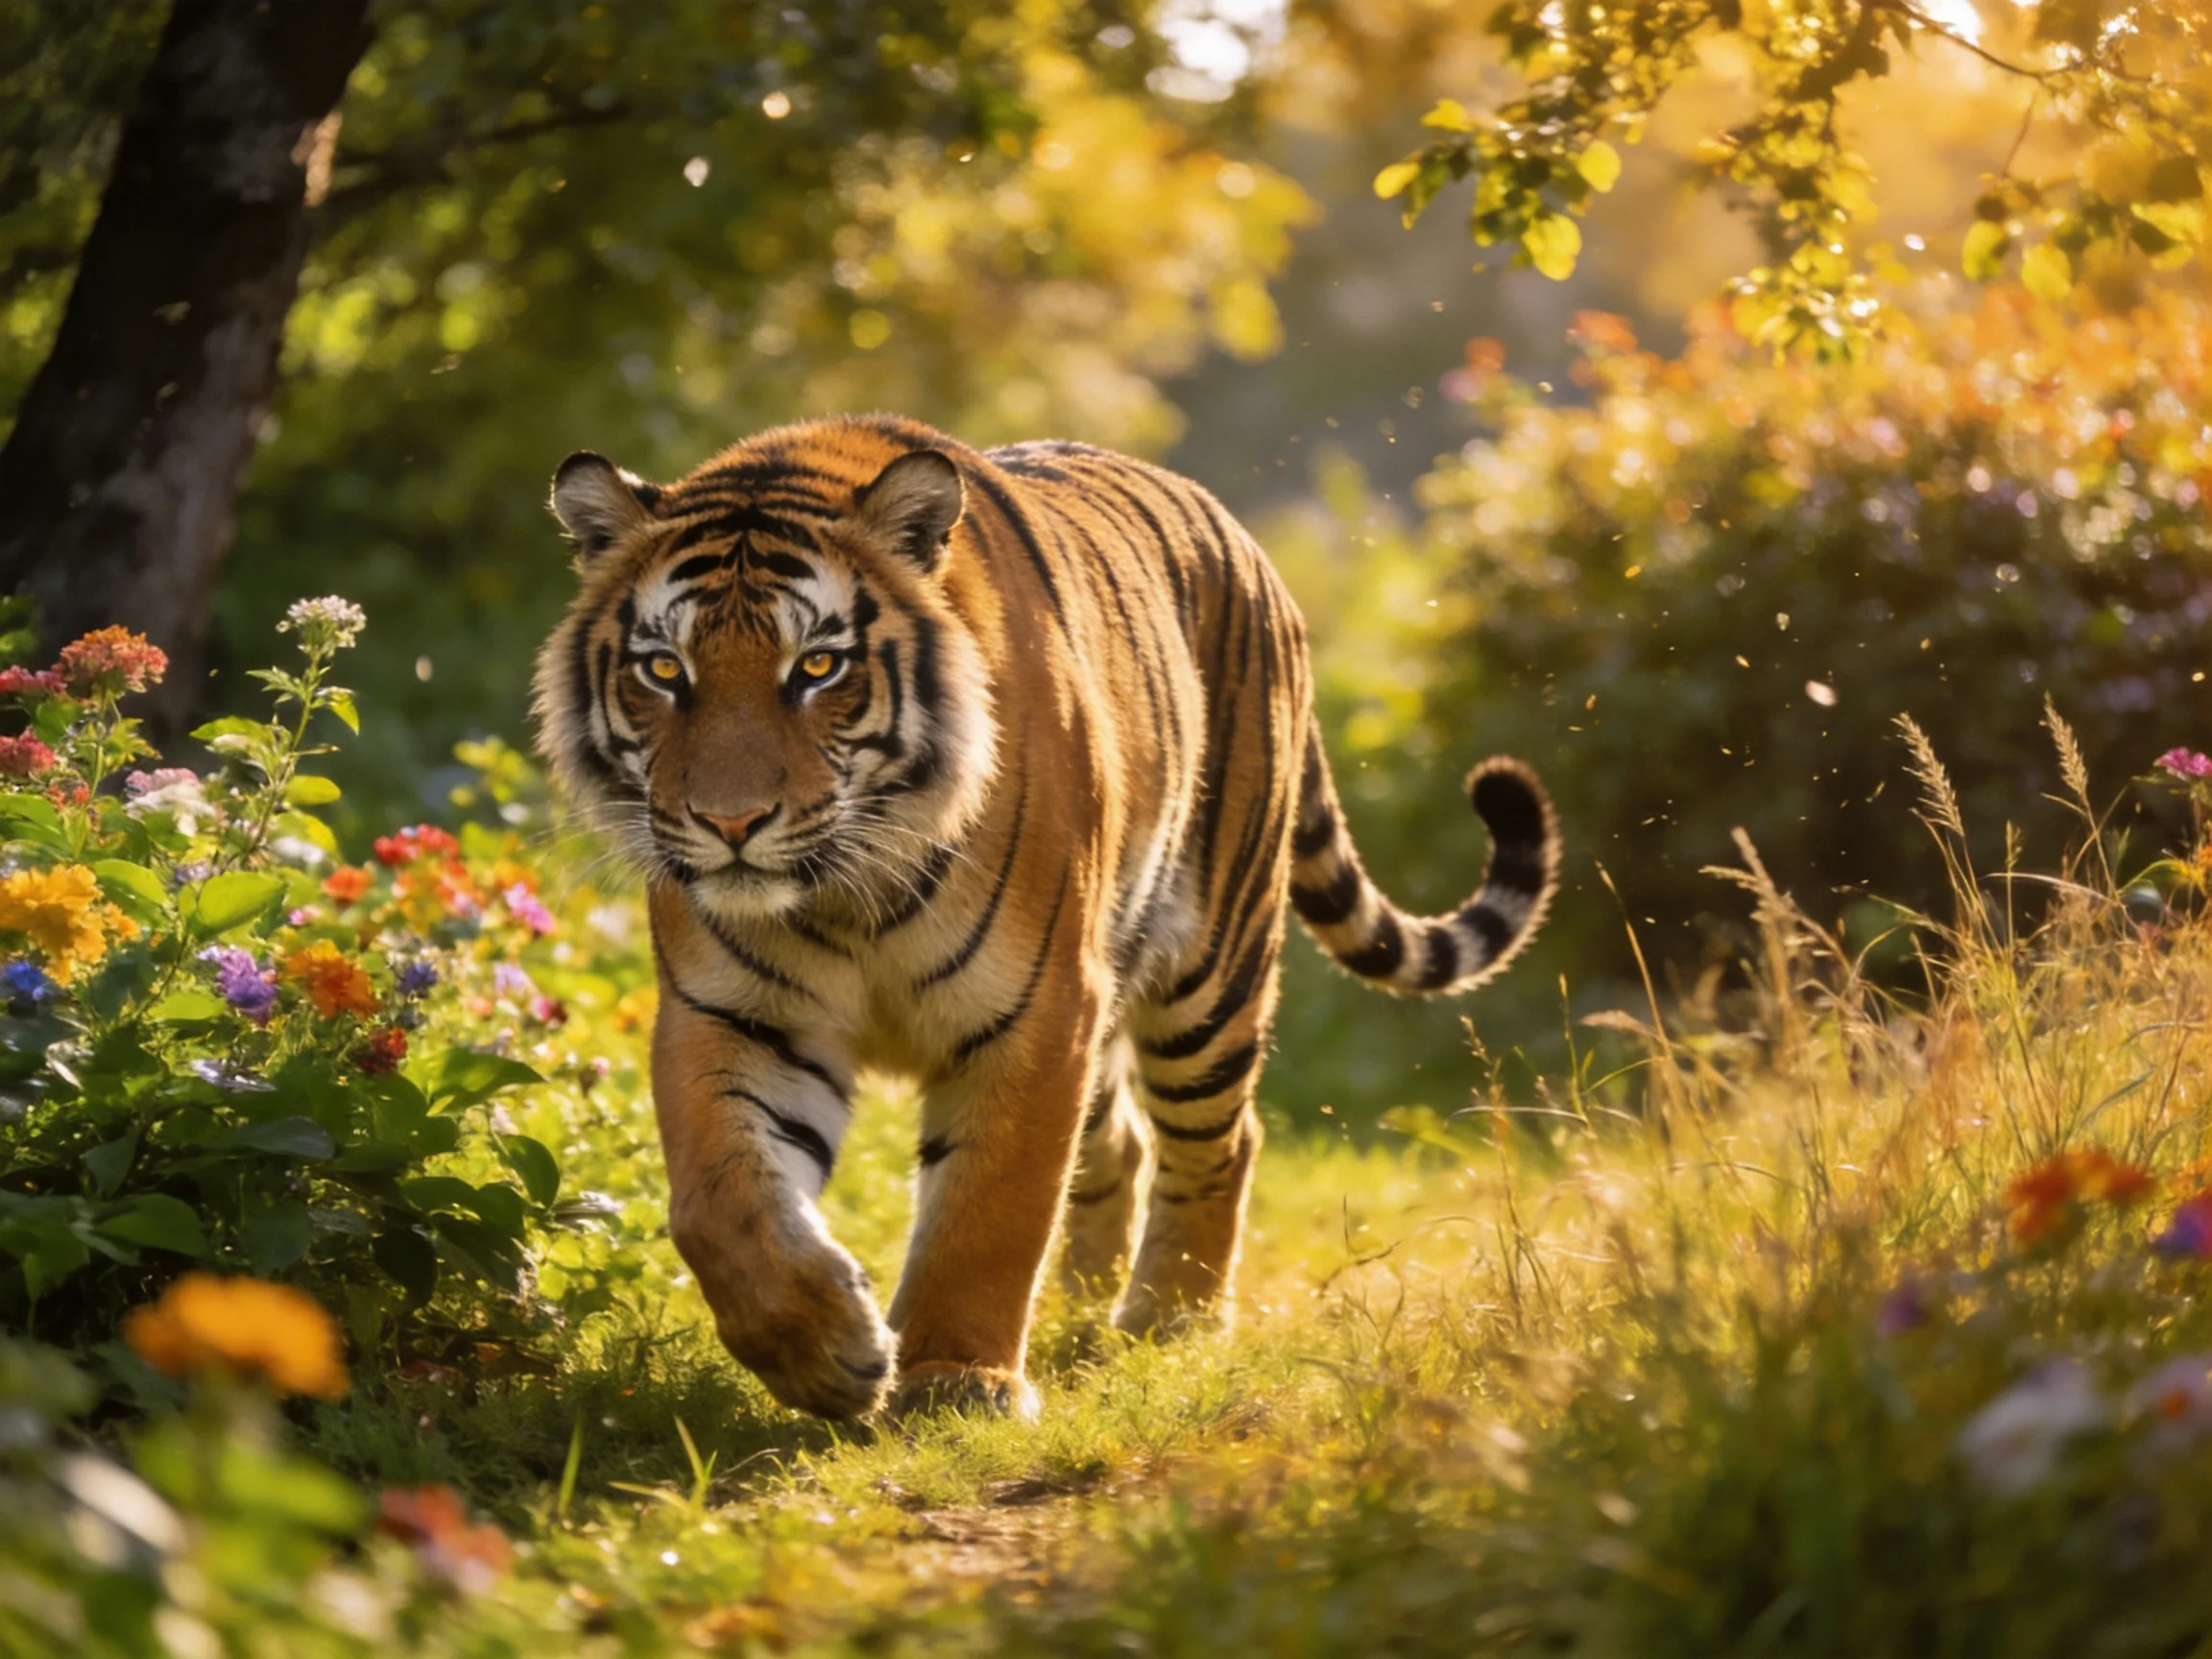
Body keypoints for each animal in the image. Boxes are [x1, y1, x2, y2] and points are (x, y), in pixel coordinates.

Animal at [533, 413, 1559, 1421]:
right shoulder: (731, 1013)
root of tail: (1243, 541)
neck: (845, 890)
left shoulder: (1036, 1008)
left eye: (818, 666)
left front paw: (955, 1380)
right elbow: (718, 1205)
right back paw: (1076, 1310)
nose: (731, 824)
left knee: (1220, 1141)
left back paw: (1169, 1322)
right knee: (1120, 1143)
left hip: (1209, 971)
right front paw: (827, 1354)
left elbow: (993, 1206)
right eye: (664, 669)